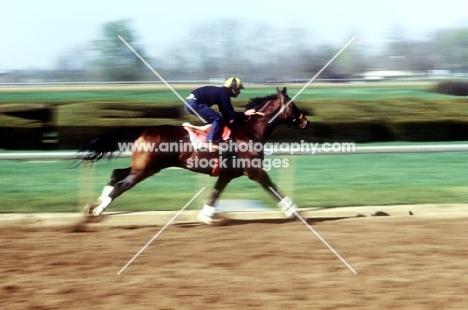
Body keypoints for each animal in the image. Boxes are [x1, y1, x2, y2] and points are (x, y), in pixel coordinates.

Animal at [79, 86, 308, 224]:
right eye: (294, 104)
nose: (305, 122)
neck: (249, 131)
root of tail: (143, 130)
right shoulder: (254, 170)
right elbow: (272, 187)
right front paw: (293, 211)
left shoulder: (227, 173)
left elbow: (215, 193)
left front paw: (205, 216)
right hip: (145, 169)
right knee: (120, 186)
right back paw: (98, 210)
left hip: (143, 166)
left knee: (117, 173)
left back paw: (97, 202)